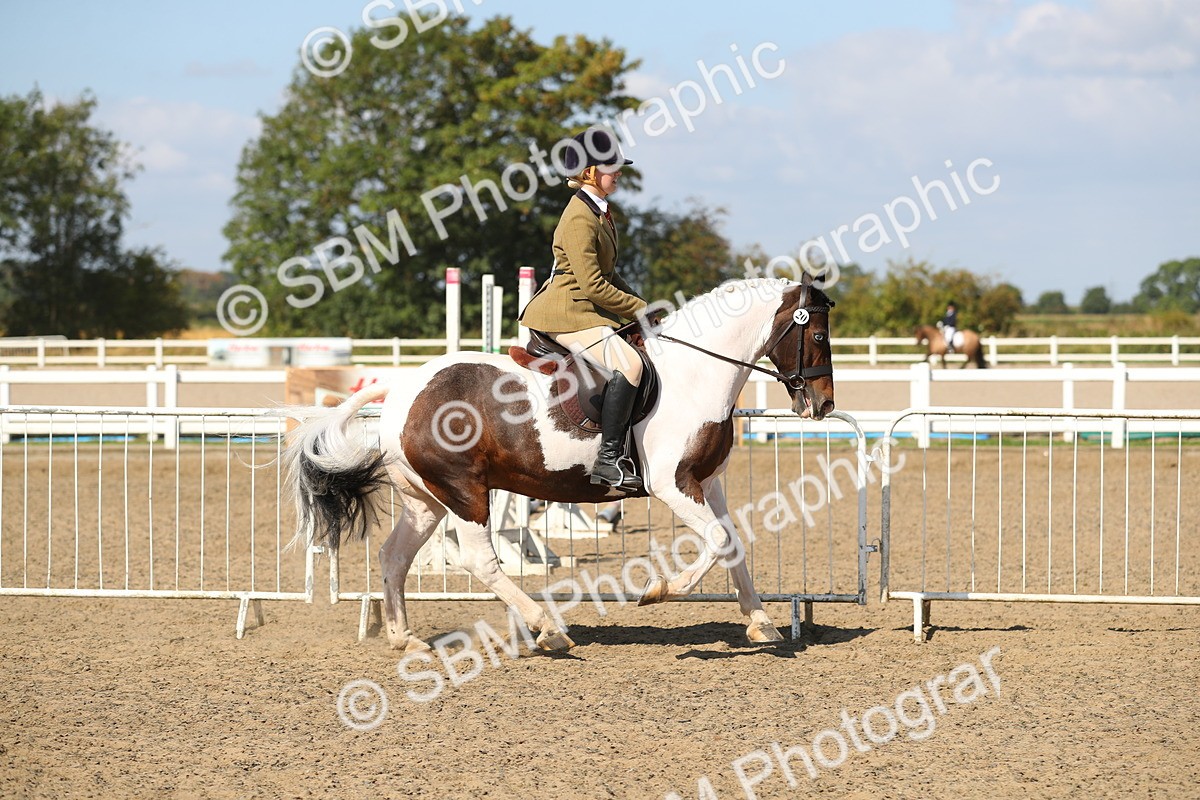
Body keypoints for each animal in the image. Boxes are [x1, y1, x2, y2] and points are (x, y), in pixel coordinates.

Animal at [284, 274, 836, 653]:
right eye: (818, 337)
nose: (824, 405)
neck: (694, 372)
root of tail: (401, 388)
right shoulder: (672, 484)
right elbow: (719, 541)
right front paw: (659, 591)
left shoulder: (708, 483)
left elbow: (734, 542)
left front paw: (760, 622)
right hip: (464, 491)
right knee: (480, 562)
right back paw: (548, 629)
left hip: (427, 499)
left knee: (394, 557)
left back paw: (405, 639)